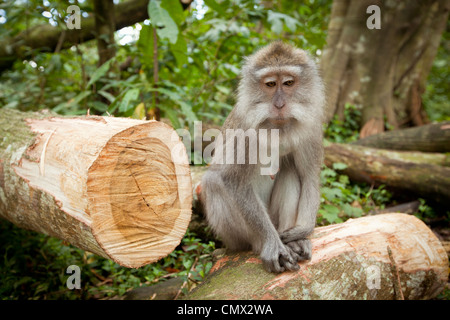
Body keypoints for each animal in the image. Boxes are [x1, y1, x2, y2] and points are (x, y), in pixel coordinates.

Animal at [200, 42, 324, 272]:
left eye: (288, 82)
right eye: (270, 84)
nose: (279, 105)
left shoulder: (311, 126)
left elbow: (309, 176)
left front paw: (303, 230)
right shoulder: (244, 128)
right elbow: (234, 181)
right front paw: (271, 244)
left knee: (290, 170)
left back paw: (293, 242)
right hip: (233, 235)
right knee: (213, 180)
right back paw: (261, 243)